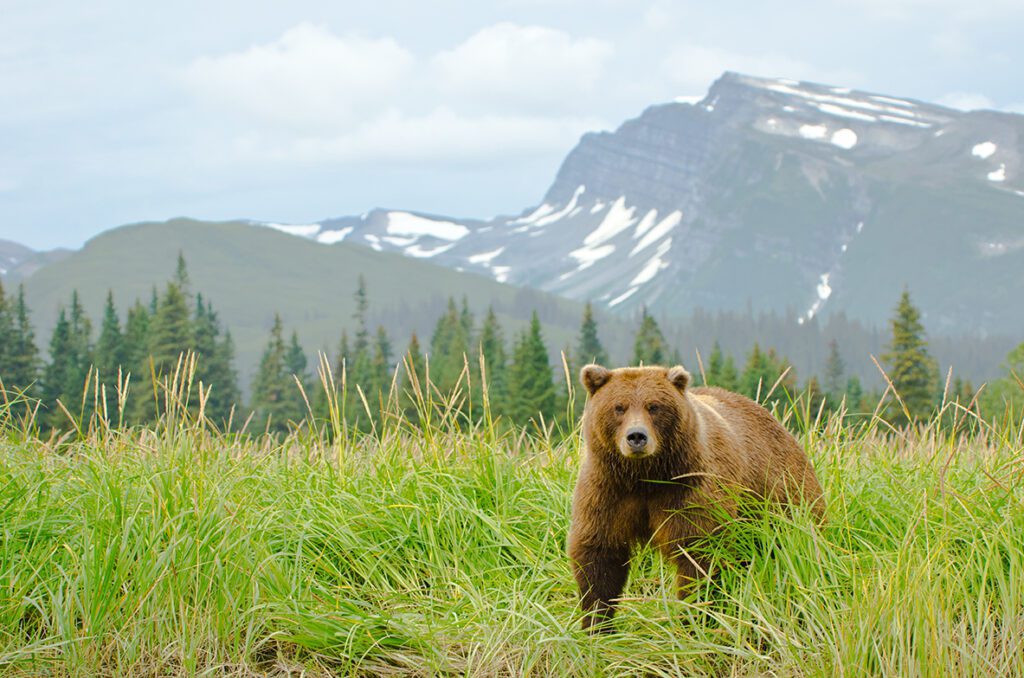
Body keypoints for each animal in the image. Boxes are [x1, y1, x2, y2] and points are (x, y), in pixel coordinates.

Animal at [568, 363, 825, 632]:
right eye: (619, 407)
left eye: (654, 406)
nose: (636, 437)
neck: (646, 477)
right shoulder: (607, 491)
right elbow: (599, 554)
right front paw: (597, 624)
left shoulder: (690, 490)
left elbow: (699, 553)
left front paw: (694, 617)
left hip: (782, 499)